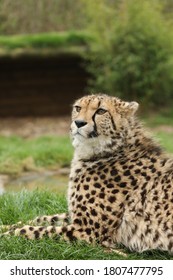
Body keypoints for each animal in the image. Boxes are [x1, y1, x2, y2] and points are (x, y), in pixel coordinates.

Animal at [1, 94, 173, 254]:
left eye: (101, 111)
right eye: (78, 108)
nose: (79, 123)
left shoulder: (85, 231)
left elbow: (32, 230)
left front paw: (6, 235)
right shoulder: (74, 217)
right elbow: (42, 218)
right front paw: (6, 226)